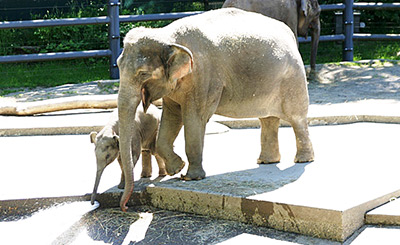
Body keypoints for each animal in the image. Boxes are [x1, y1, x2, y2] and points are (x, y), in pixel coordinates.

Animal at [117, 8, 314, 212]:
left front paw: (191, 177)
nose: (125, 207)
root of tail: (290, 34)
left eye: (143, 73)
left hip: (293, 78)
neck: (167, 35)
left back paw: (302, 160)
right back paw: (267, 161)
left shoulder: (203, 76)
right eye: (117, 65)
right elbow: (171, 117)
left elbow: (195, 118)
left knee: (296, 118)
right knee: (268, 119)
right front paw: (177, 169)